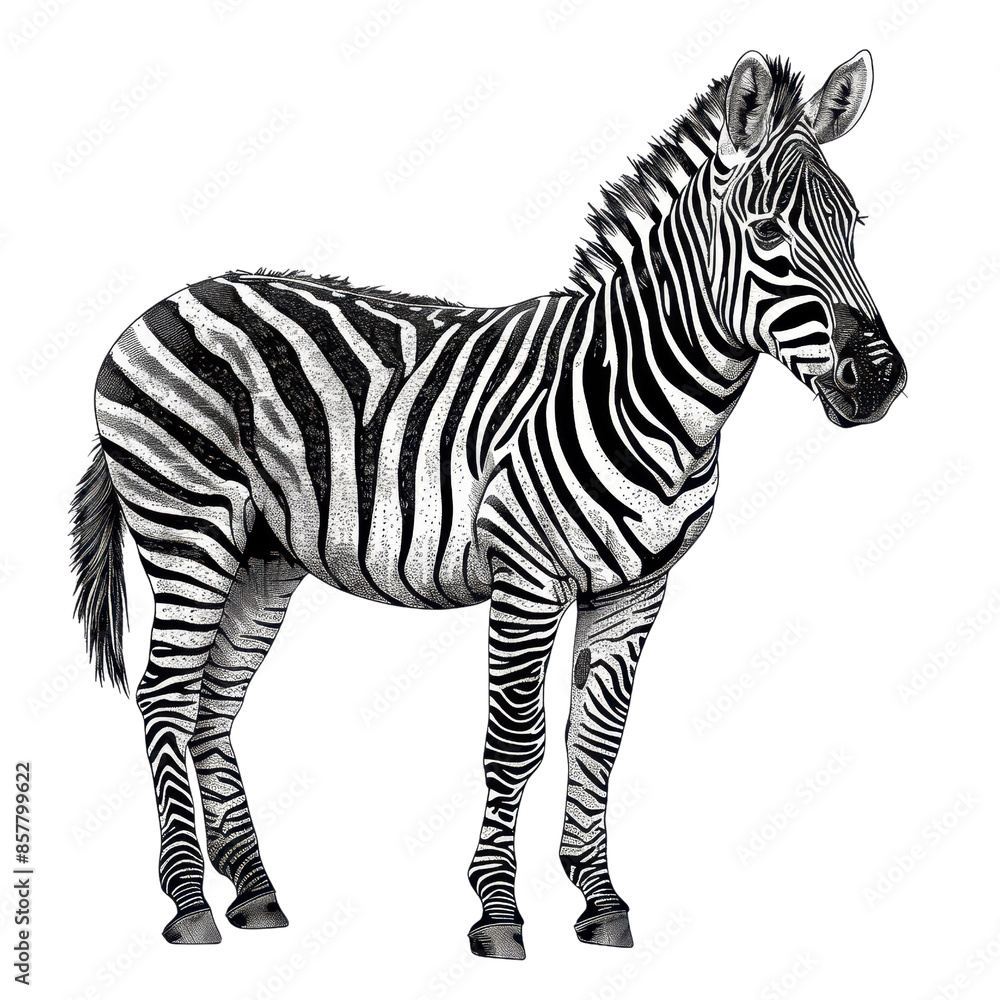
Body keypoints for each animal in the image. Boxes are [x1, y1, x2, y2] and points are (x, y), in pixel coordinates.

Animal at [70, 50, 905, 958]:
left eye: (855, 226)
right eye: (768, 236)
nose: (881, 379)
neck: (645, 390)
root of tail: (167, 301)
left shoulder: (637, 588)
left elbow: (596, 741)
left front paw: (600, 901)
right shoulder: (527, 574)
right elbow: (515, 741)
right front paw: (498, 914)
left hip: (263, 555)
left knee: (212, 704)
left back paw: (255, 895)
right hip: (186, 522)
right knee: (164, 694)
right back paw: (189, 904)